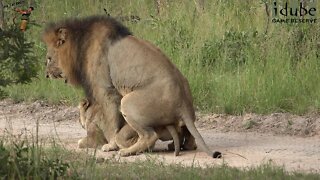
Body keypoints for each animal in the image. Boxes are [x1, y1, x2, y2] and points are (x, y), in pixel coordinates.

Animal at [42, 16, 221, 158]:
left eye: (49, 58)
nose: (46, 75)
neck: (80, 45)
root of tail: (183, 103)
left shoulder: (106, 91)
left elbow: (111, 122)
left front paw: (111, 145)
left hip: (127, 102)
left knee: (150, 136)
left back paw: (126, 152)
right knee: (190, 139)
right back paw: (178, 145)